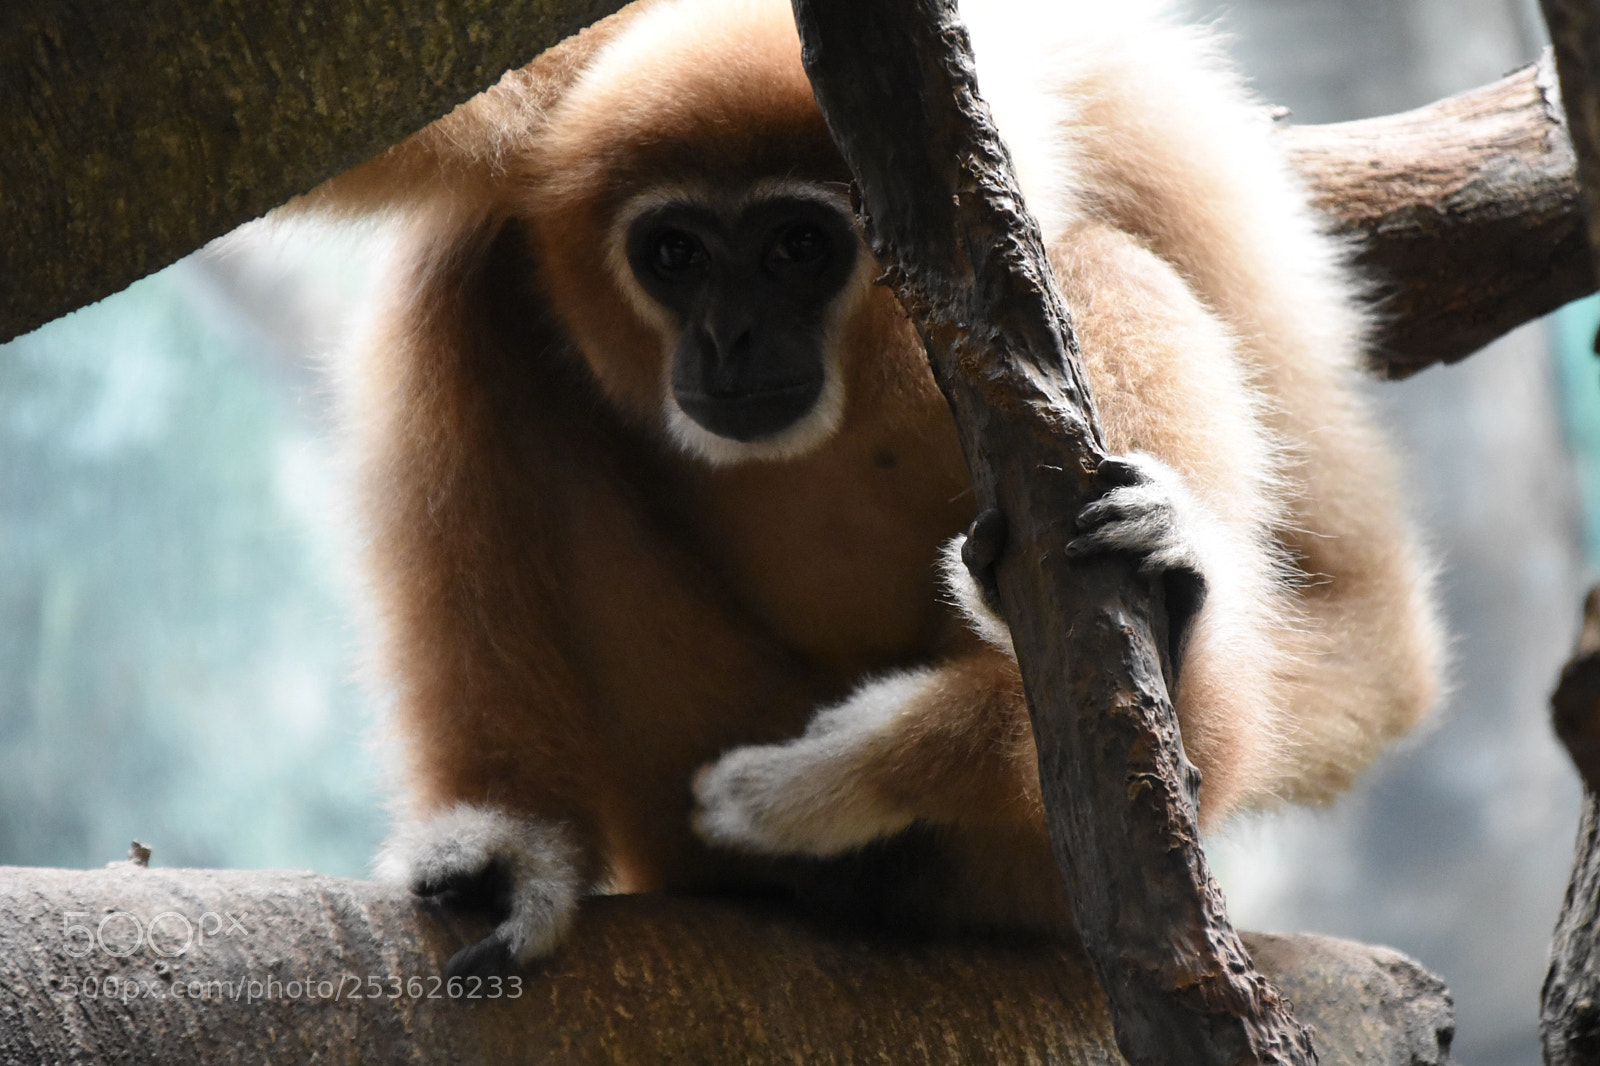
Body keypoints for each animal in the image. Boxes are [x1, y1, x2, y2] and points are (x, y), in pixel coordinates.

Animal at [301, 0, 1444, 976]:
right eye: (673, 253)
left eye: (798, 245)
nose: (730, 337)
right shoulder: (556, 90)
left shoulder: (1154, 145)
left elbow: (1366, 633)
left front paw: (848, 771)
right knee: (469, 275)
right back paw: (512, 842)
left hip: (1027, 878)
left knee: (1104, 265)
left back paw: (1157, 625)